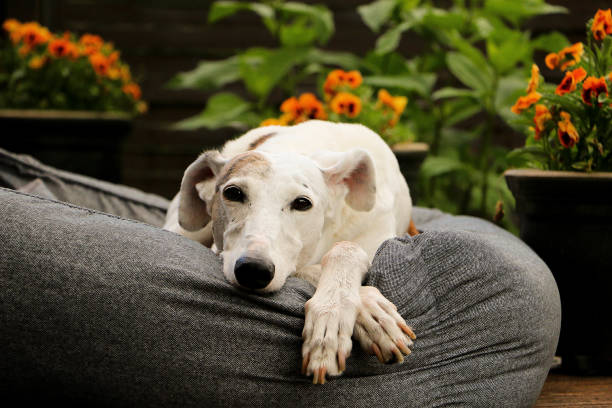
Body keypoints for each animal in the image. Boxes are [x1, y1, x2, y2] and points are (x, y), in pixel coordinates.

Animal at [165, 119, 418, 384]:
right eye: (232, 192)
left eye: (302, 203)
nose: (253, 270)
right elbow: (309, 268)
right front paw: (361, 311)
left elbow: (347, 248)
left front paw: (337, 314)